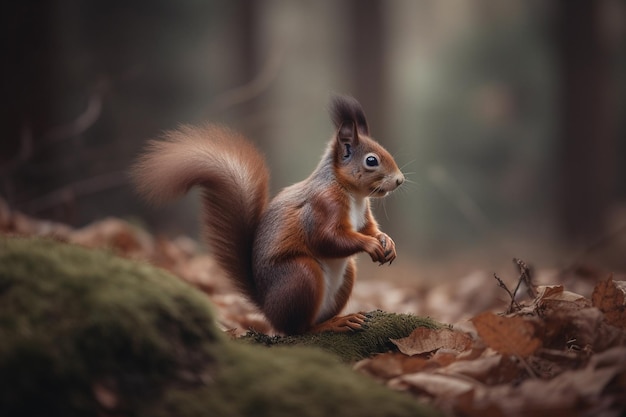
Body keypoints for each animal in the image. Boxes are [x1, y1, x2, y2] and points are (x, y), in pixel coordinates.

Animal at [132, 95, 404, 334]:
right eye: (371, 160)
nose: (400, 180)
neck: (352, 194)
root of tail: (267, 309)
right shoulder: (323, 205)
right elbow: (326, 238)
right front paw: (370, 245)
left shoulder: (364, 214)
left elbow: (369, 229)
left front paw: (386, 241)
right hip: (301, 275)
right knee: (298, 329)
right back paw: (331, 325)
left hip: (345, 275)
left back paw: (342, 317)